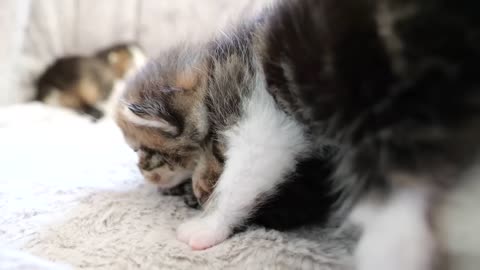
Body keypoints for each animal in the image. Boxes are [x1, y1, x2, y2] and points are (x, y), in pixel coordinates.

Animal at [115, 0, 480, 268]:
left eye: (141, 151)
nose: (143, 173)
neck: (215, 67)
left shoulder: (263, 119)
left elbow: (241, 177)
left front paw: (207, 224)